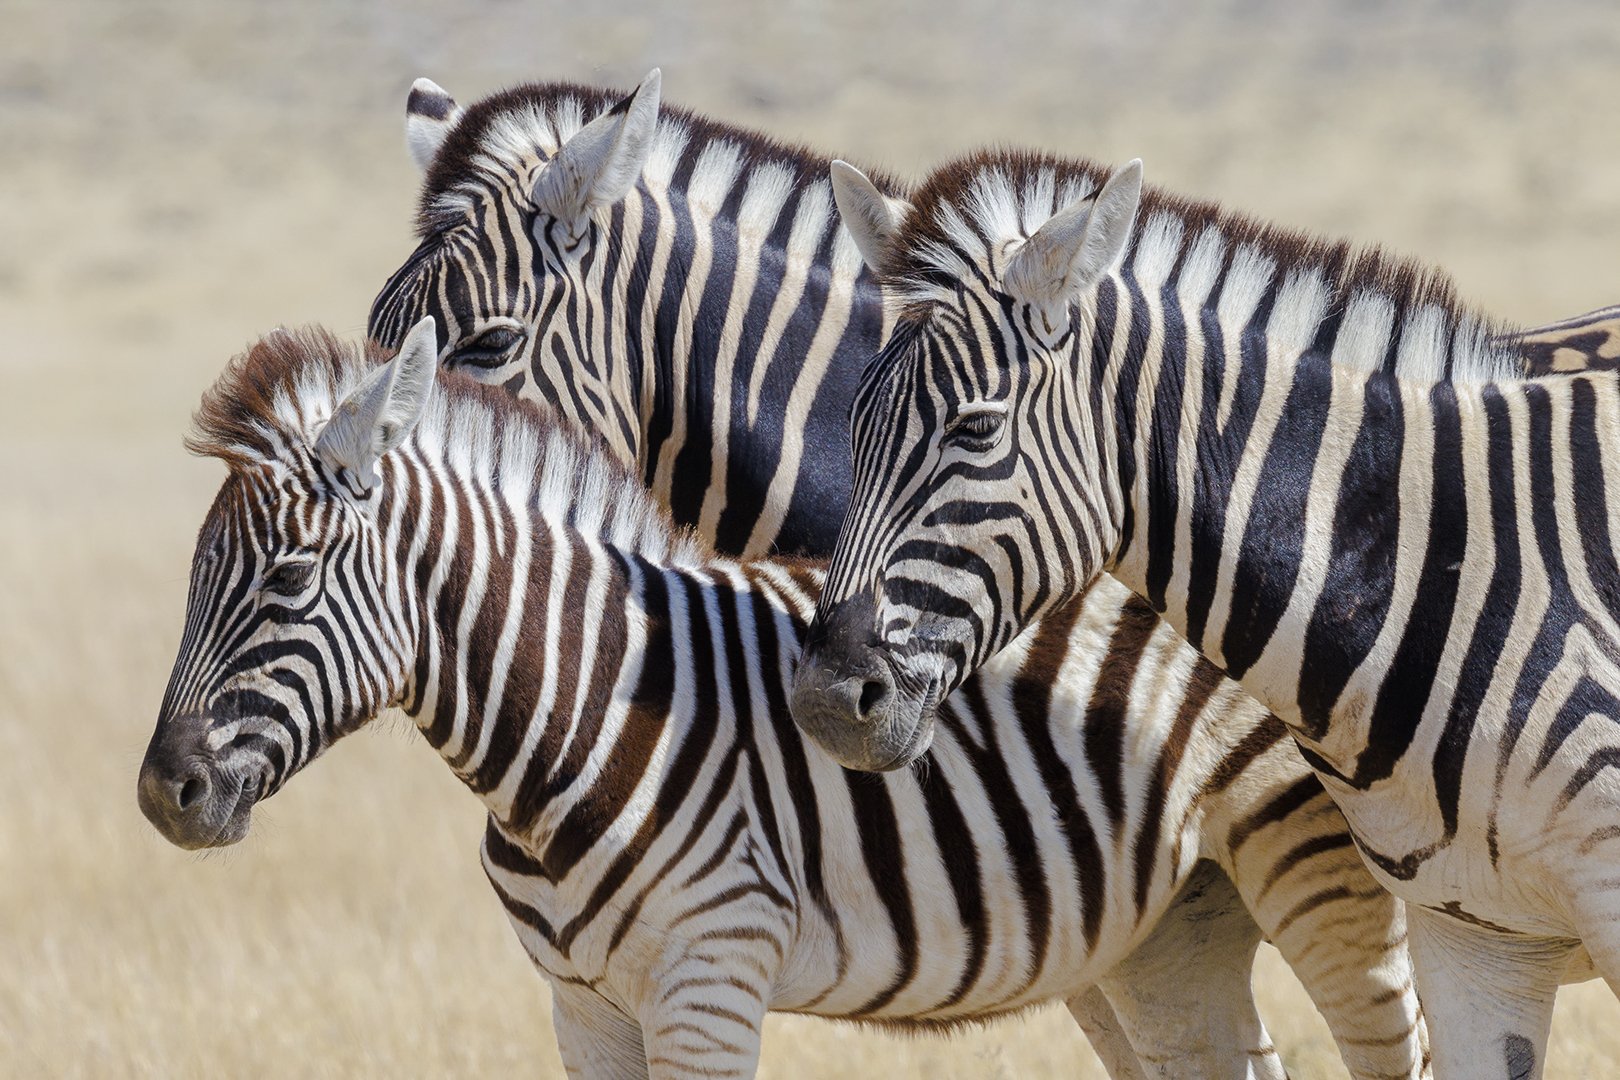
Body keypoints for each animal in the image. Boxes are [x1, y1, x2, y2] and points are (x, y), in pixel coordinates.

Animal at [137, 321, 1437, 1079]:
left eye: (288, 580)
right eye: (189, 581)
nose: (162, 796)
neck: (584, 714)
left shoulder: (711, 980)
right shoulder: (583, 1007)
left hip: (1313, 863)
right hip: (1163, 930)